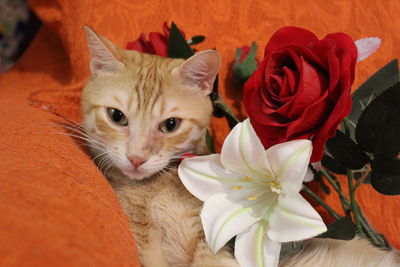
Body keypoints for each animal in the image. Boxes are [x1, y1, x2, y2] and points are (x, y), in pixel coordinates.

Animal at [81, 25, 400, 267]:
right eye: (117, 117)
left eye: (170, 125)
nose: (136, 158)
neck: (155, 189)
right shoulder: (144, 240)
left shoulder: (214, 238)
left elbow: (211, 260)